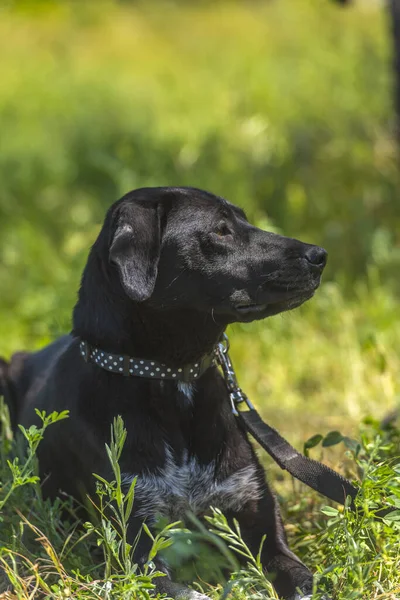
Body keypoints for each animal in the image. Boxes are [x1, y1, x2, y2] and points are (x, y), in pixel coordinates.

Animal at [2, 188, 328, 600]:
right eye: (220, 229)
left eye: (243, 219)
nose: (320, 255)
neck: (173, 377)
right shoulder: (138, 551)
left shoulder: (261, 526)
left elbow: (303, 579)